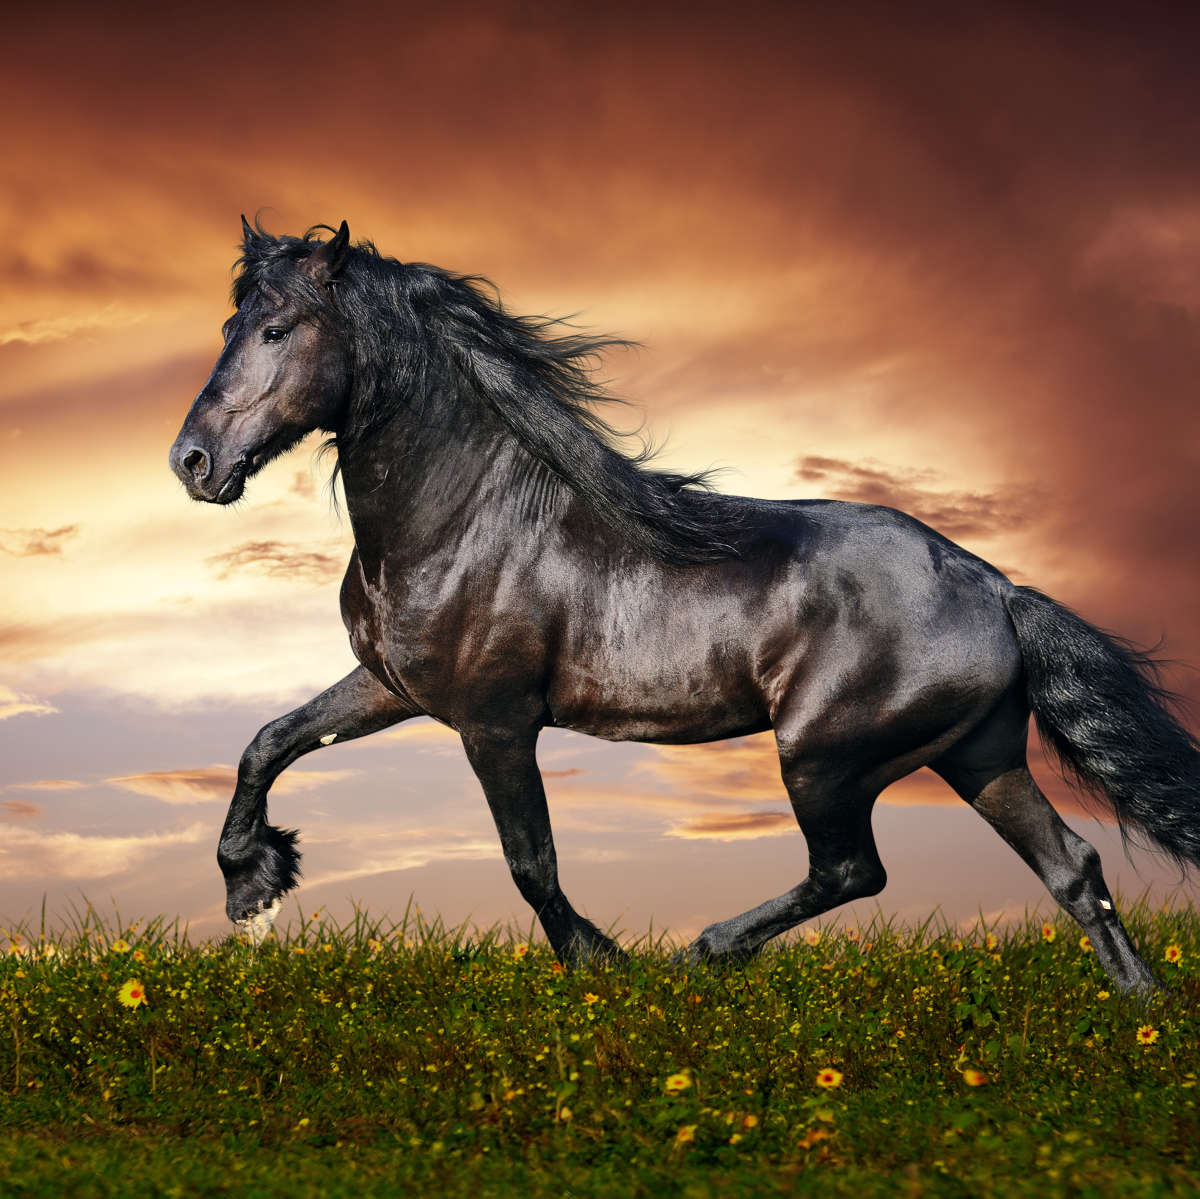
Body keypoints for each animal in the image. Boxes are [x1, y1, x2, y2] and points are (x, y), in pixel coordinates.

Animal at [169, 217, 1200, 993]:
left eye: (276, 330)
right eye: (227, 328)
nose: (193, 463)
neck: (465, 516)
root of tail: (994, 586)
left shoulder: (494, 720)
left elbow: (530, 861)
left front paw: (602, 964)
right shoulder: (394, 686)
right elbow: (268, 740)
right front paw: (253, 885)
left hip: (823, 755)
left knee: (853, 869)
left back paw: (702, 953)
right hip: (976, 754)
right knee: (1074, 869)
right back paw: (1138, 1014)